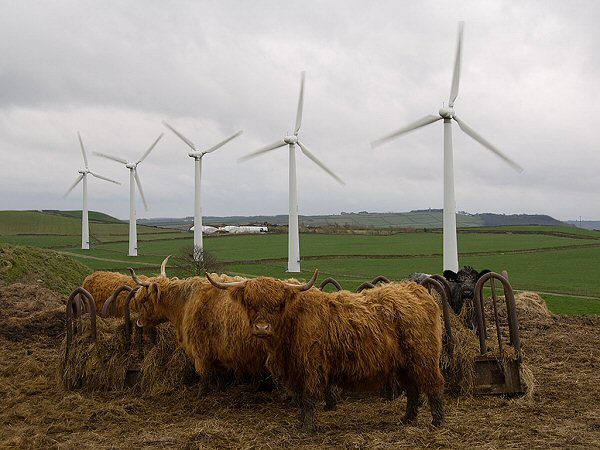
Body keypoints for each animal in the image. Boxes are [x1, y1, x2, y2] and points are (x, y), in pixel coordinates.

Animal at [134, 268, 272, 392]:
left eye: (144, 299)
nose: (139, 322)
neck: (184, 305)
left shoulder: (199, 349)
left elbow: (203, 376)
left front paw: (201, 394)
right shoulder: (219, 353)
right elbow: (220, 377)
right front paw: (220, 390)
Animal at [207, 268, 446, 430]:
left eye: (278, 303)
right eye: (250, 302)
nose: (262, 328)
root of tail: (415, 290)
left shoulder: (312, 366)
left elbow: (309, 398)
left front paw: (307, 428)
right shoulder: (295, 371)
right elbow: (300, 399)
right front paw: (302, 423)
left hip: (423, 356)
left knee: (433, 384)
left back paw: (436, 421)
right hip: (404, 363)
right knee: (412, 389)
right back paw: (406, 419)